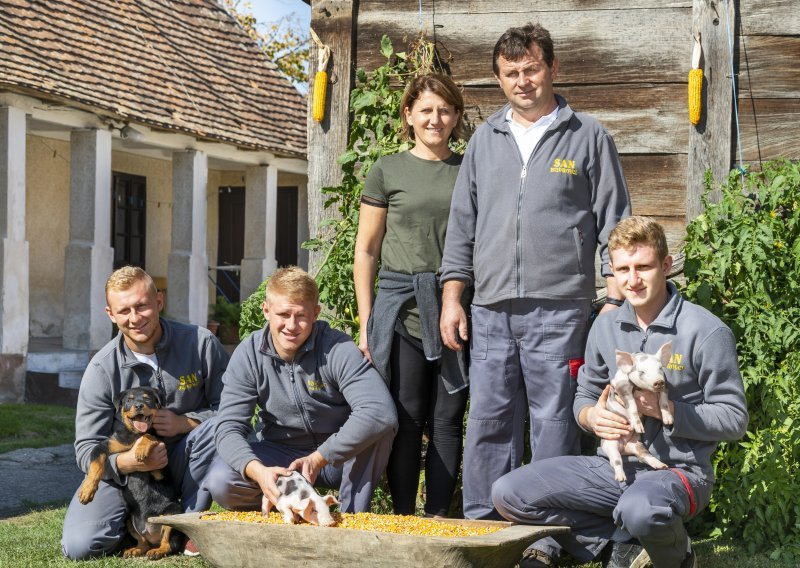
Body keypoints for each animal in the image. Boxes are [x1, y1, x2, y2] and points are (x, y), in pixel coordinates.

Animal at [77, 386, 184, 560]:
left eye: (147, 398)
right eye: (129, 400)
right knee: (143, 541)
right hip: (129, 519)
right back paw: (135, 550)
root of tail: (152, 534)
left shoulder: (160, 465)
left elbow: (149, 434)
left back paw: (157, 551)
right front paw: (87, 491)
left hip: (173, 511)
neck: (134, 433)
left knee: (168, 543)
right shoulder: (103, 446)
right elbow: (95, 465)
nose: (139, 406)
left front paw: (140, 449)